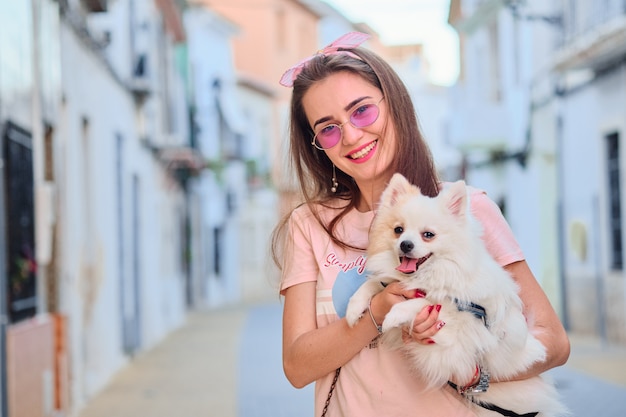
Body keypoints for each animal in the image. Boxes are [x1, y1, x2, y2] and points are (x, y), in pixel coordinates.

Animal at [346, 173, 564, 416]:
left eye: (428, 235)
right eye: (398, 230)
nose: (405, 244)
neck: (428, 275)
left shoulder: (457, 330)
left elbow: (427, 302)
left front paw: (394, 314)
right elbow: (374, 284)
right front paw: (353, 309)